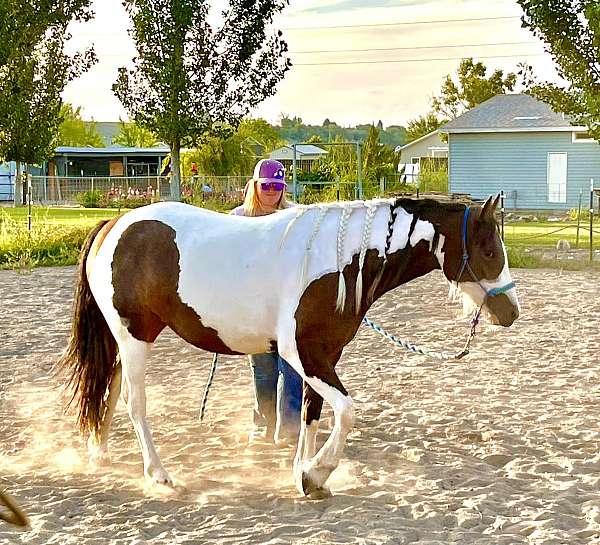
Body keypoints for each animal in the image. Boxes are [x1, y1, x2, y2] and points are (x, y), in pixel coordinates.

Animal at [59, 194, 520, 498]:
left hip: (123, 340)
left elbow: (311, 414)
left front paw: (304, 470)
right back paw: (158, 474)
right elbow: (346, 412)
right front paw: (316, 474)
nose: (512, 312)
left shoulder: (326, 355)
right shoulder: (302, 354)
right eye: (488, 250)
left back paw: (99, 452)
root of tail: (114, 224)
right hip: (135, 337)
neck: (339, 261)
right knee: (134, 403)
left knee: (107, 390)